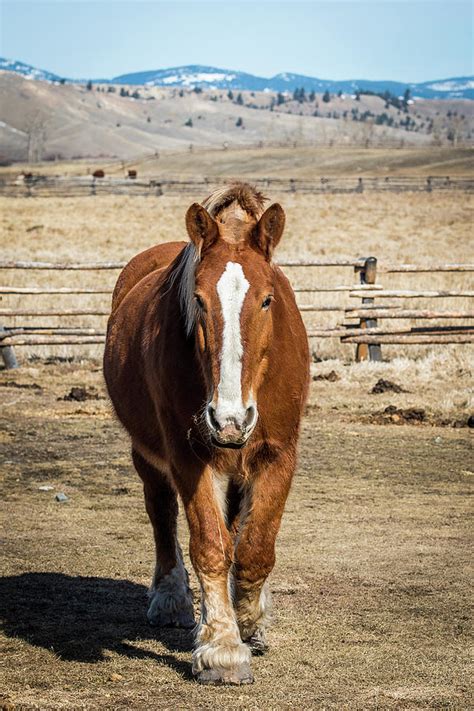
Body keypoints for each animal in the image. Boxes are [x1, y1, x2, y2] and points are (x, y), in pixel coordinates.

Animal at [103, 182, 310, 684]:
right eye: (198, 299)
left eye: (268, 299)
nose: (228, 418)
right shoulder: (189, 457)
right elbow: (211, 546)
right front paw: (222, 648)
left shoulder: (278, 453)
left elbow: (255, 547)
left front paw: (250, 621)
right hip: (149, 455)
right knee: (162, 514)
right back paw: (173, 600)